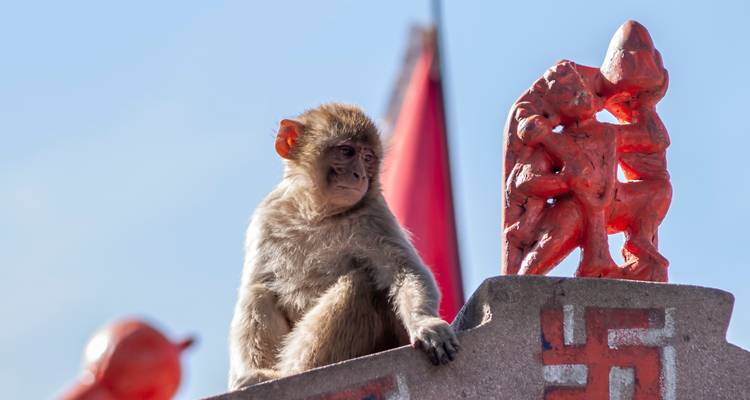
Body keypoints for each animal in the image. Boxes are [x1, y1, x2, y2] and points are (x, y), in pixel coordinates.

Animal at [228, 103, 459, 390]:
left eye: (368, 157)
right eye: (347, 152)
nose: (359, 175)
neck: (317, 213)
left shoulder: (375, 215)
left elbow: (404, 271)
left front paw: (425, 322)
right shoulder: (267, 215)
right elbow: (257, 283)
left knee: (359, 282)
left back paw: (291, 372)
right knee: (259, 291)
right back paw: (260, 375)